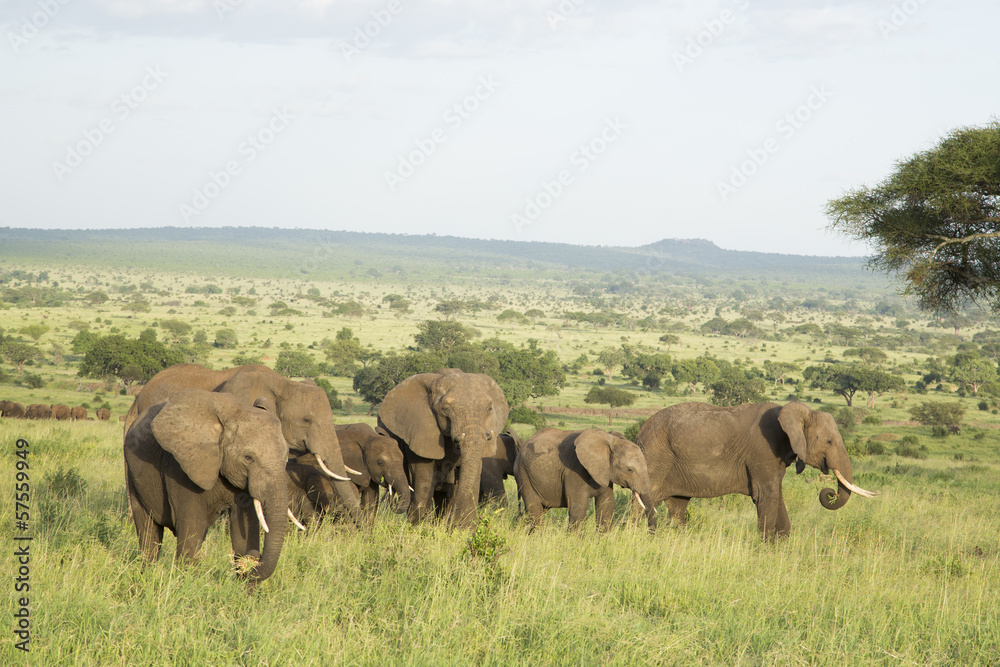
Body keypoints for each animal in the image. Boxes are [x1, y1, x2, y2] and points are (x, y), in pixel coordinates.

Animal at [123, 388, 292, 588]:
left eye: (286, 457)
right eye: (248, 458)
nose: (255, 559)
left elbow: (243, 527)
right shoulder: (180, 466)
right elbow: (192, 529)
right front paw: (188, 587)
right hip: (132, 474)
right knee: (149, 534)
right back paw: (146, 577)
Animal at [378, 368, 512, 528]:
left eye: (489, 408)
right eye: (446, 409)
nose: (462, 524)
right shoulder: (419, 432)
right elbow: (423, 483)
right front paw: (418, 527)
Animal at [512, 428, 652, 532]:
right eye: (629, 470)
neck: (611, 440)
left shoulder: (604, 473)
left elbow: (606, 507)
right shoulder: (574, 470)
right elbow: (578, 509)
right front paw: (575, 544)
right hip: (523, 474)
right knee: (534, 510)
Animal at [632, 400, 876, 540]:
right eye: (828, 441)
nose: (829, 493)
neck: (795, 413)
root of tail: (641, 430)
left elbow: (777, 495)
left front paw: (781, 546)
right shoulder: (763, 450)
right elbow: (766, 495)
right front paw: (765, 549)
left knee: (678, 505)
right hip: (654, 459)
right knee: (642, 503)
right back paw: (633, 536)